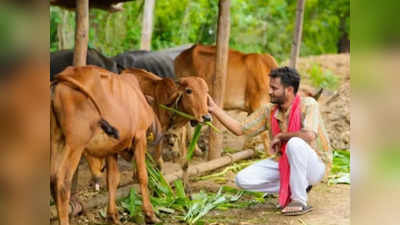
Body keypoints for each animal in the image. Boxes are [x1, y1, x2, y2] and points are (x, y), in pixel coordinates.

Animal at [50, 65, 162, 225]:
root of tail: (61, 78)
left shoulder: (111, 149)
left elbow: (112, 180)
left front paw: (112, 216)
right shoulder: (140, 137)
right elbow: (143, 176)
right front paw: (150, 214)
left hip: (56, 140)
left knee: (52, 179)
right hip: (75, 143)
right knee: (62, 181)